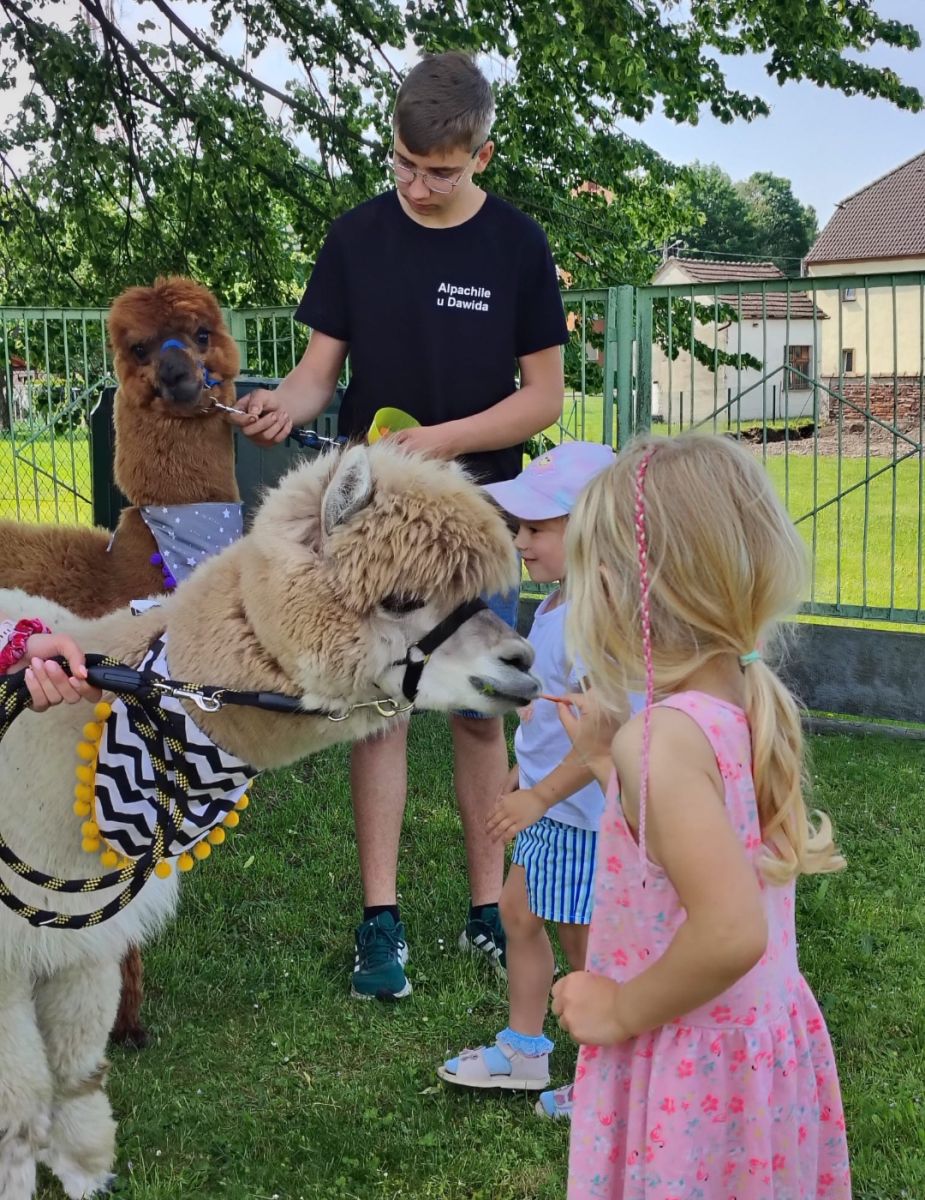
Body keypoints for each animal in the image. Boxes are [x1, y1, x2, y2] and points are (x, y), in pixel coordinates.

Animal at [0, 439, 539, 1200]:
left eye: (477, 598)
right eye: (402, 598)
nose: (521, 661)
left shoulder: (79, 940)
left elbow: (77, 1070)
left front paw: (83, 1173)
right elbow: (19, 1103)